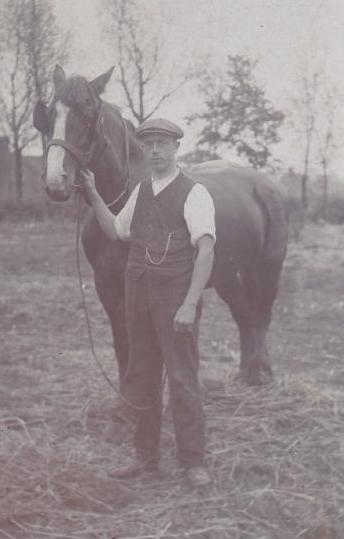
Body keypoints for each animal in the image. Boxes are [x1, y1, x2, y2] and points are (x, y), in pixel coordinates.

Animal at [34, 64, 288, 388]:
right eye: (49, 115)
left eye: (89, 114)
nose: (56, 182)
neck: (121, 204)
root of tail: (265, 185)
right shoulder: (107, 285)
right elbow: (123, 347)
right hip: (228, 275)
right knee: (245, 315)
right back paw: (247, 374)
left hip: (267, 268)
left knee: (262, 315)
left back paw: (259, 373)